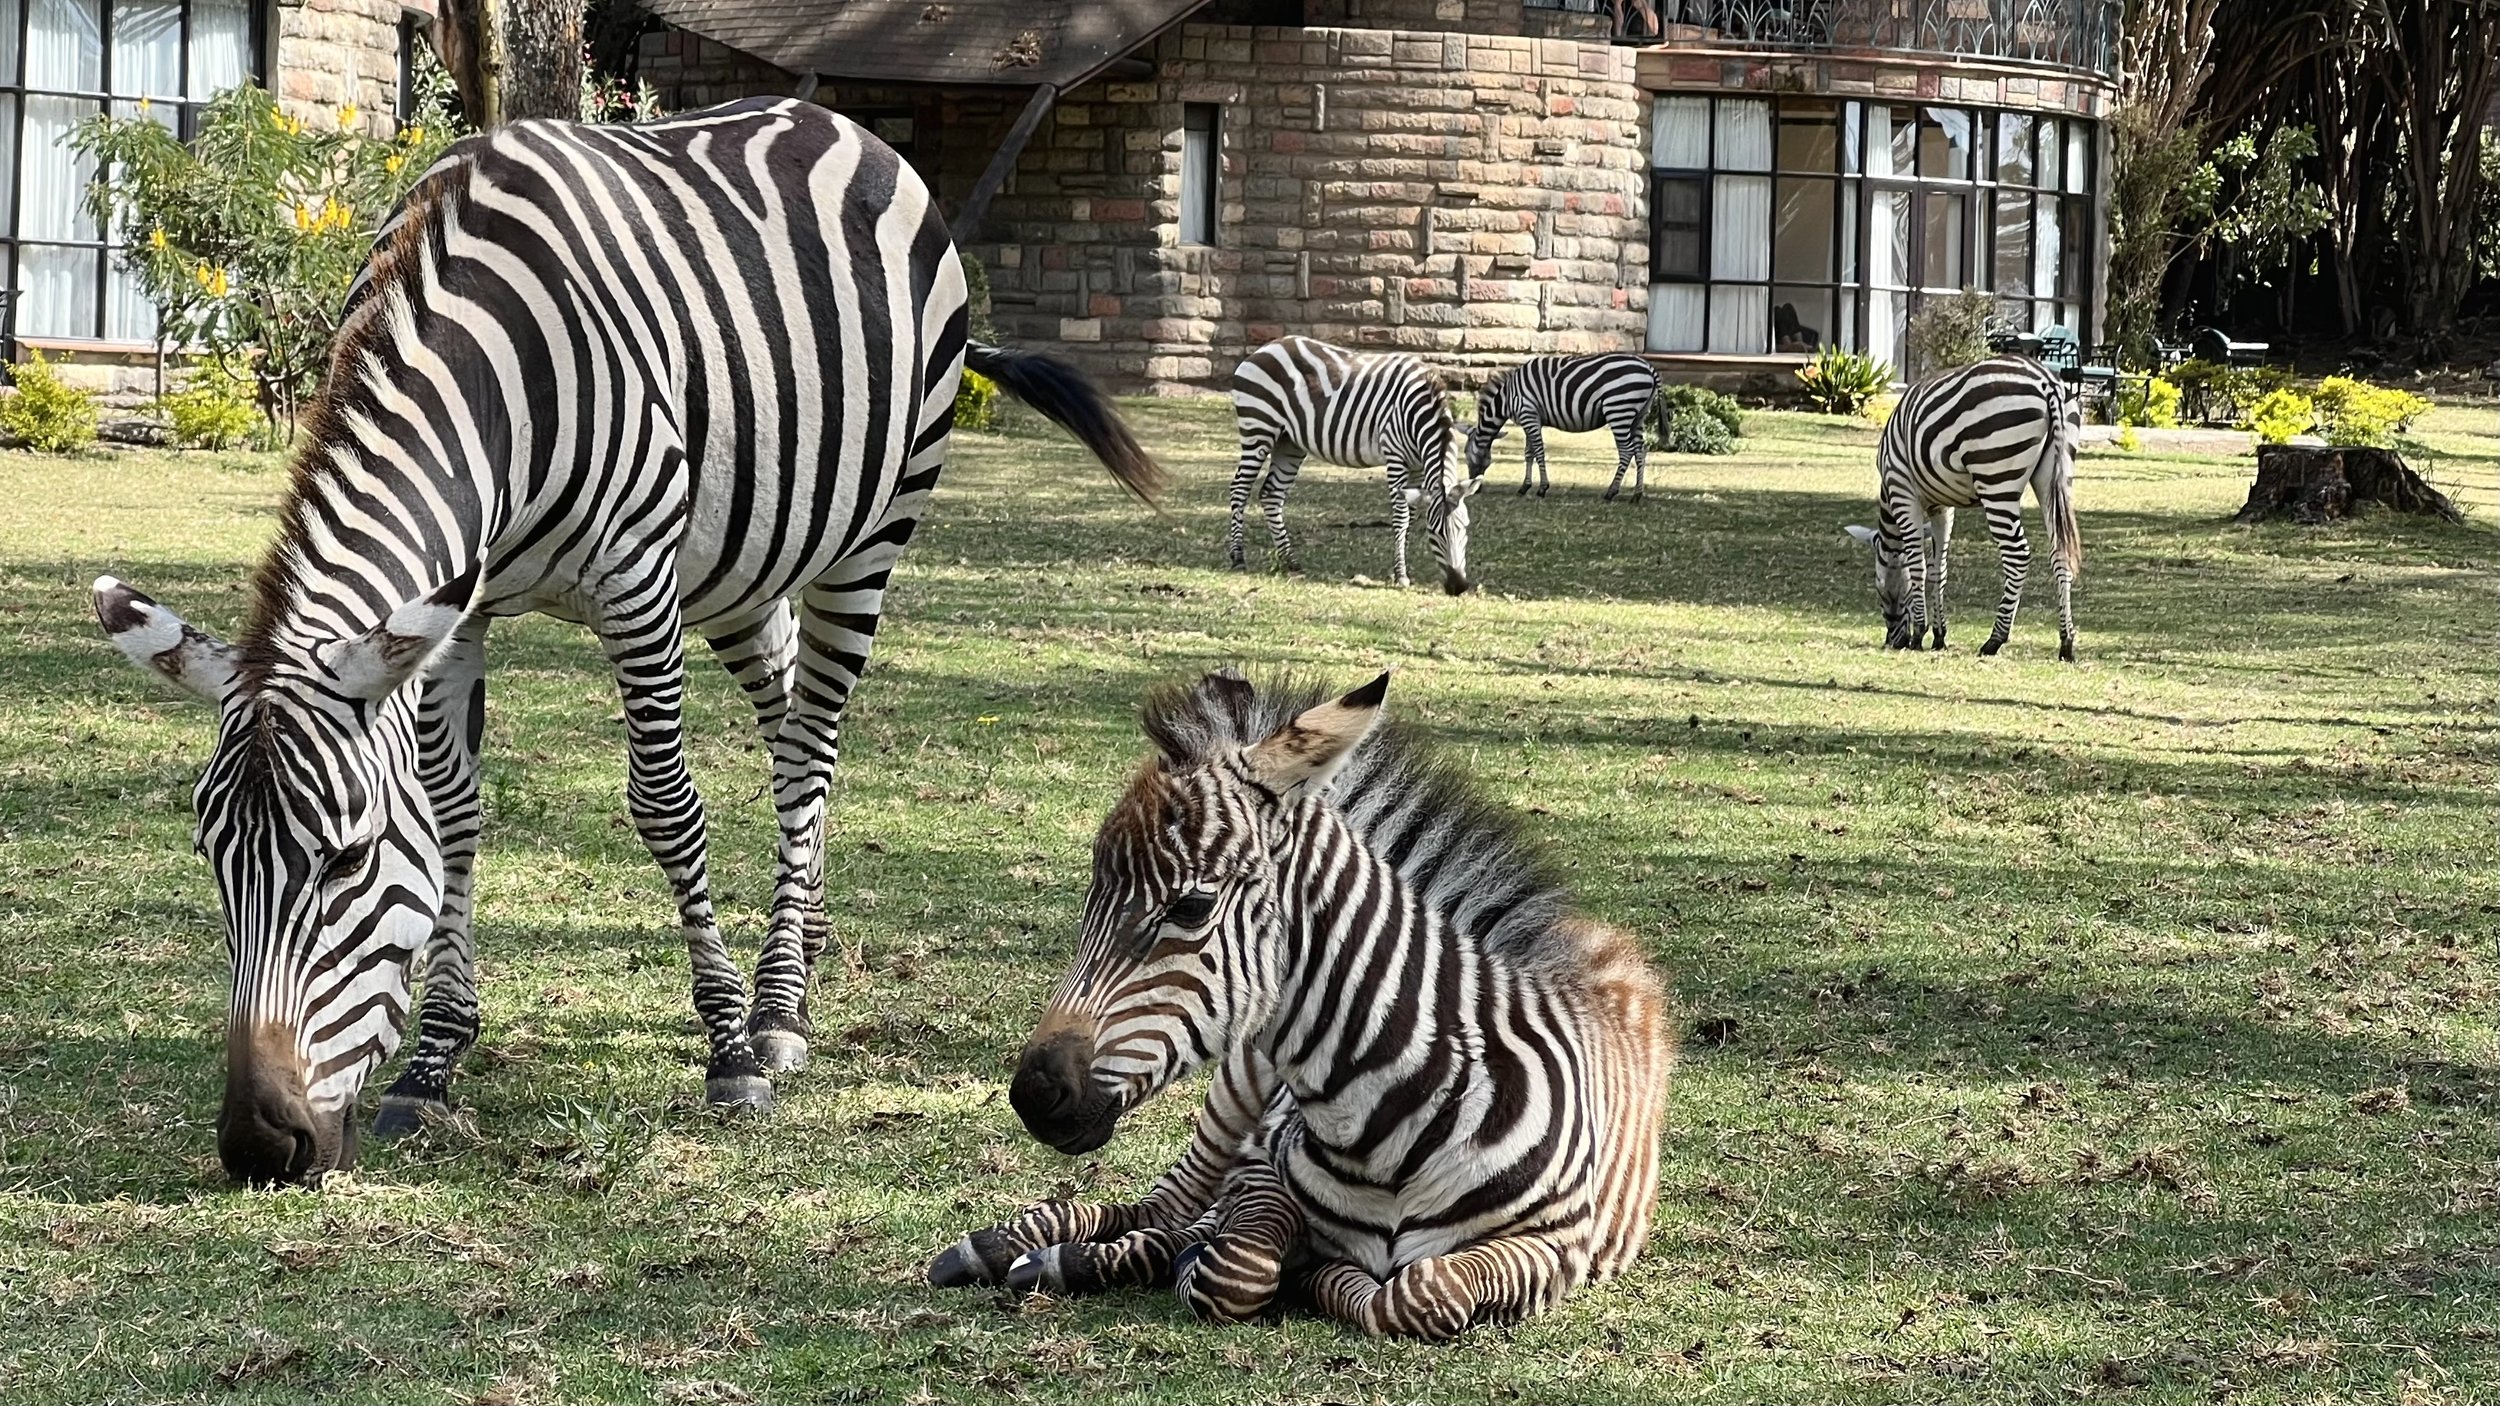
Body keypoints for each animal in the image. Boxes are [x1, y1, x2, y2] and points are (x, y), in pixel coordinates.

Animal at [90, 97, 1163, 1185]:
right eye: (211, 855)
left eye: (346, 862)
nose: (259, 1143)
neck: (491, 372)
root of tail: (834, 119)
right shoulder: (462, 602)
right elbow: (454, 809)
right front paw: (433, 1062)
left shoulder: (635, 581)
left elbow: (665, 807)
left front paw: (730, 1053)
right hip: (743, 564)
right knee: (787, 731)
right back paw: (806, 948)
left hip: (871, 534)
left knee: (813, 743)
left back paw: (778, 1006)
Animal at [927, 669, 1673, 1339]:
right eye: (1090, 901)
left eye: (1190, 906)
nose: (1033, 1094)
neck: (1390, 1126)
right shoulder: (1258, 1168)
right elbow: (1238, 1265)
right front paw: (1280, 1267)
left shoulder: (1557, 1245)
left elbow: (1421, 1293)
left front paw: (1316, 1278)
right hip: (1232, 1096)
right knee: (1161, 1208)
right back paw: (1015, 1248)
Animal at [1226, 336, 1482, 595]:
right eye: (1433, 533)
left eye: (1465, 527)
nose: (1458, 587)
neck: (1418, 410)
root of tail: (1265, 347)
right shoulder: (1395, 457)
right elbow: (1401, 516)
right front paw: (1401, 575)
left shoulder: (1418, 466)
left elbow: (1410, 515)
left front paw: (1400, 567)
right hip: (1258, 428)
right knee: (1239, 489)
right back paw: (1238, 558)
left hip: (1289, 442)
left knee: (1271, 494)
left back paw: (1291, 561)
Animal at [1465, 353, 1660, 501]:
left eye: (1465, 455)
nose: (1474, 490)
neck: (1507, 397)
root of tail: (1648, 367)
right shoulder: (1531, 418)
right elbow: (1529, 453)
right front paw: (1524, 487)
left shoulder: (1528, 414)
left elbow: (1539, 451)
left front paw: (1542, 488)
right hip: (1637, 416)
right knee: (1640, 451)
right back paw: (1637, 494)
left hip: (1619, 410)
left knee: (1627, 451)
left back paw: (1611, 492)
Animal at [1844, 355, 2081, 661]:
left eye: (1879, 588)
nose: (1893, 641)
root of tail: (2047, 381)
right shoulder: (1942, 507)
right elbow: (1939, 569)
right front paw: (1939, 636)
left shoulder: (1903, 491)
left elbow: (1917, 564)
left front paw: (1919, 634)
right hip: (2054, 476)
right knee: (2060, 553)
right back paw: (2066, 642)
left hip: (1996, 479)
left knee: (2017, 555)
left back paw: (1994, 640)